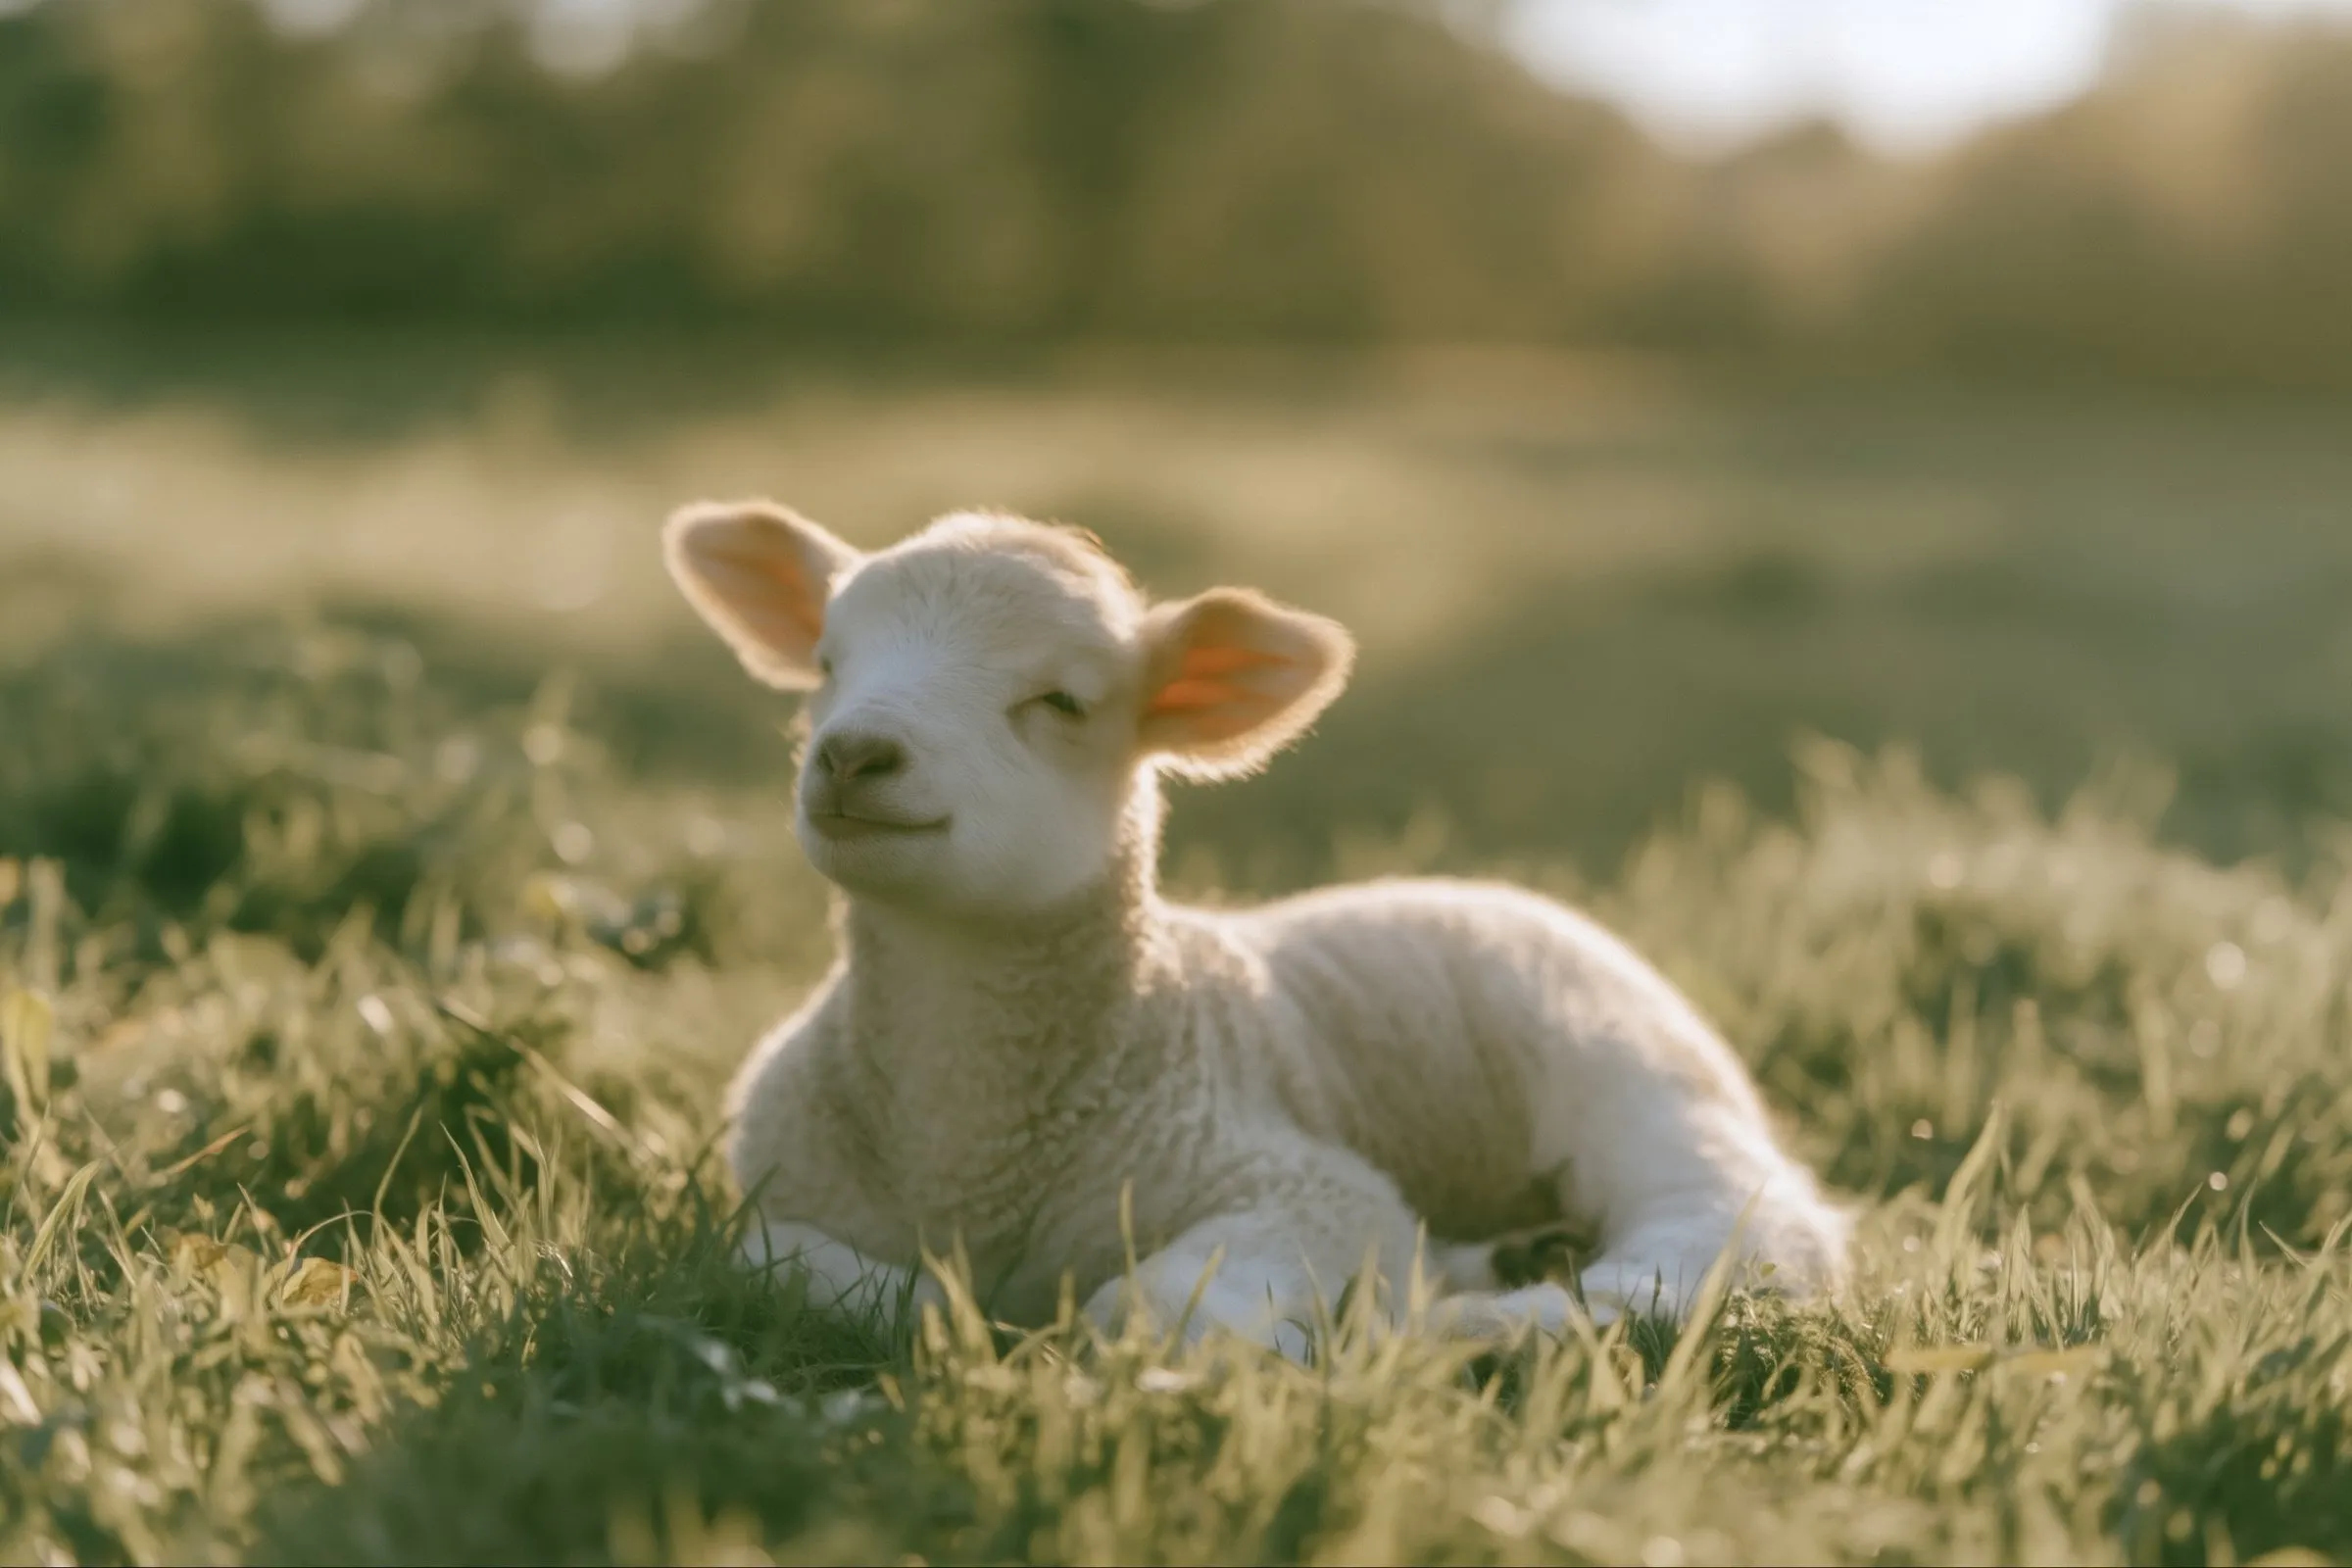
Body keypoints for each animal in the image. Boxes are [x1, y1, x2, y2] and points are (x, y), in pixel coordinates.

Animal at [662, 498, 1850, 1357]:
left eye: (1062, 701)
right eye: (825, 664)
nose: (853, 755)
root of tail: (1501, 888)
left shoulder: (1303, 1182)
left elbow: (1144, 1307)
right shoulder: (765, 1191)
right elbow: (770, 1267)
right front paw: (949, 1317)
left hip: (1634, 1075)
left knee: (1737, 1230)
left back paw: (1494, 1315)